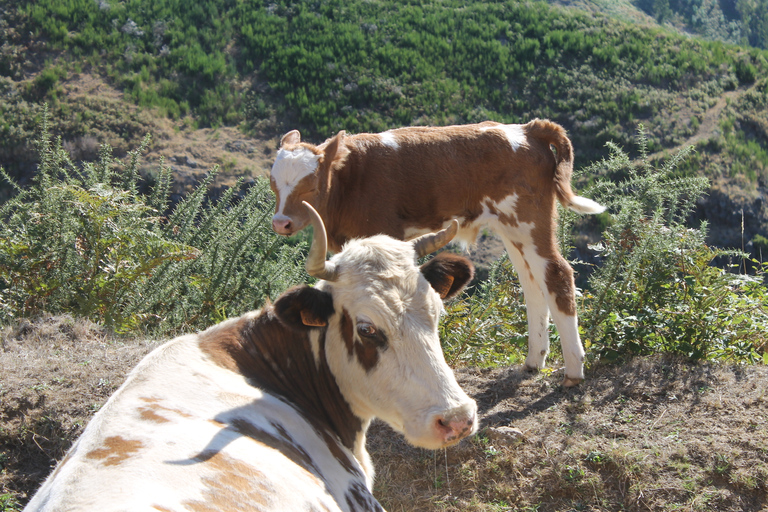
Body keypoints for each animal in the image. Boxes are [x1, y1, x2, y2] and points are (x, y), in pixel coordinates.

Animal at [270, 120, 608, 386]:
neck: (348, 181)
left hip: (528, 220)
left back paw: (574, 370)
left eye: (310, 187)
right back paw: (534, 361)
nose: (281, 222)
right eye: (274, 185)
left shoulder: (385, 233)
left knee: (557, 274)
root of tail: (528, 129)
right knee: (532, 284)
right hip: (512, 230)